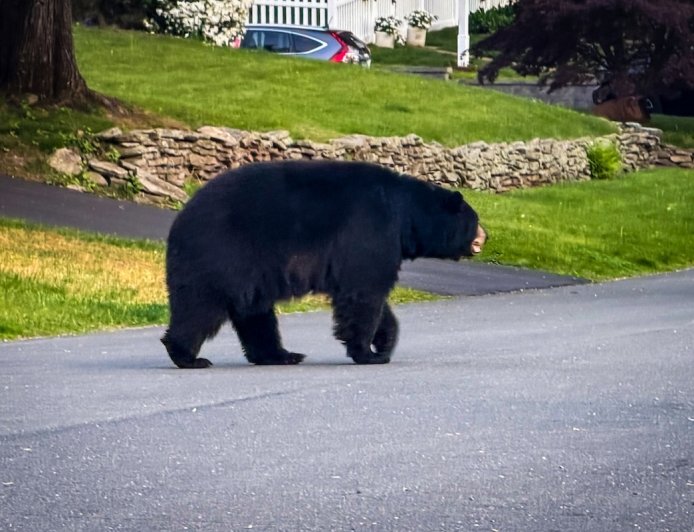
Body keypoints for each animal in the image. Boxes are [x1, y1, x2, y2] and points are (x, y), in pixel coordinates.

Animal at [161, 160, 485, 368]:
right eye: (475, 219)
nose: (486, 235)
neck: (406, 216)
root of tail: (181, 217)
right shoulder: (371, 229)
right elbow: (364, 291)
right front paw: (367, 353)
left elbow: (366, 294)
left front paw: (383, 342)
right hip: (221, 254)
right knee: (201, 306)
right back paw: (187, 356)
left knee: (255, 312)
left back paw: (281, 355)